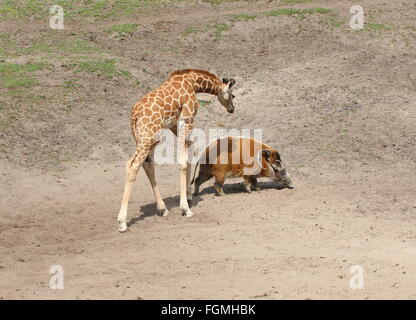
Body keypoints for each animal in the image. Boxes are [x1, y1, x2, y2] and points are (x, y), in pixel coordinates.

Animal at [116, 69, 237, 231]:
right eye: (232, 95)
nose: (232, 109)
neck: (193, 83)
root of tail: (134, 116)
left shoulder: (174, 124)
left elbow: (191, 151)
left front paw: (189, 196)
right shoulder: (187, 119)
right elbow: (183, 162)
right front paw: (185, 208)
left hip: (145, 139)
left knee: (147, 165)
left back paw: (162, 208)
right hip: (148, 138)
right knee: (133, 165)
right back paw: (122, 221)